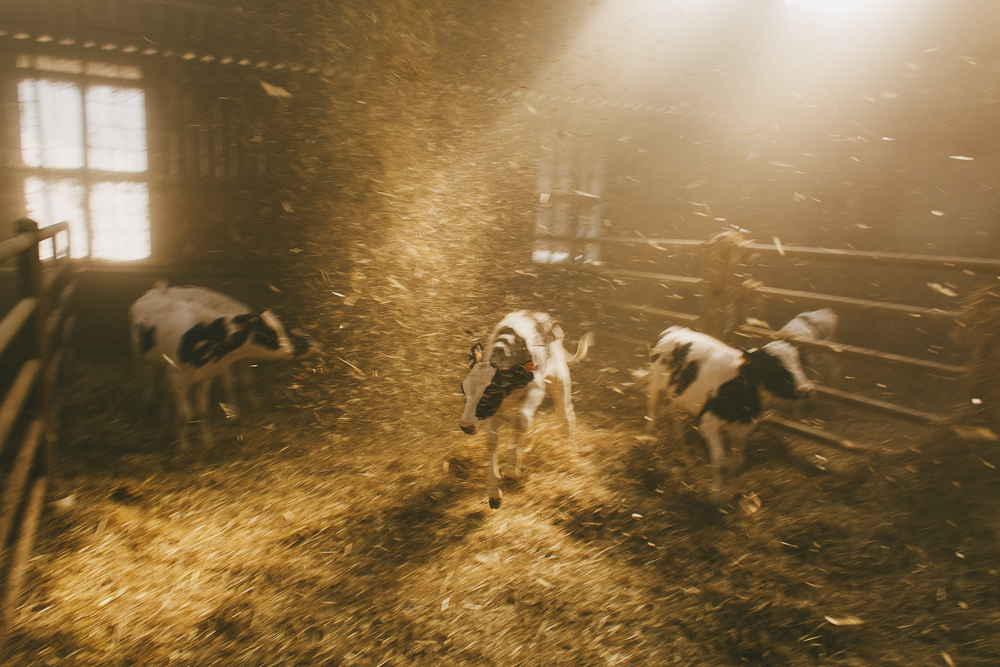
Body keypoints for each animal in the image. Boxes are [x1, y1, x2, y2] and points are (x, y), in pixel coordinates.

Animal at [133, 284, 302, 452]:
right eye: (267, 333)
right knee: (145, 383)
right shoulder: (179, 380)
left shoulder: (206, 376)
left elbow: (205, 410)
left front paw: (208, 442)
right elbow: (185, 414)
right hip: (141, 359)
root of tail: (156, 290)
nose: (292, 351)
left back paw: (164, 415)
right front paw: (183, 447)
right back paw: (144, 408)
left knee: (164, 388)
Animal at [460, 310, 592, 508]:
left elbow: (521, 421)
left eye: (489, 394)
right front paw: (493, 491)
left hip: (559, 376)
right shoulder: (493, 409)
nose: (466, 426)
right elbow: (492, 439)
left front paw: (512, 468)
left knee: (565, 414)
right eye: (464, 390)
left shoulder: (536, 389)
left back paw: (570, 450)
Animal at [640, 326, 812, 504]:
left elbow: (739, 465)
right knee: (651, 416)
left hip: (678, 394)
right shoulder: (708, 424)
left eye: (798, 361)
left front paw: (736, 494)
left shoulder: (743, 429)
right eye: (772, 365)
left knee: (675, 414)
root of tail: (674, 329)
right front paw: (717, 499)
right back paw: (648, 444)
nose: (805, 389)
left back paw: (680, 443)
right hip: (654, 387)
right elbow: (720, 464)